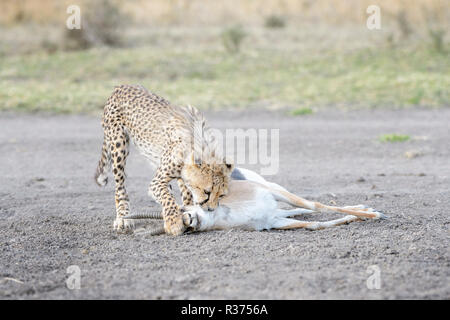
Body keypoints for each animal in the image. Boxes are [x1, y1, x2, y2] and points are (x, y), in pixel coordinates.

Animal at [93, 85, 234, 235]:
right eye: (207, 192)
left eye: (221, 195)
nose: (210, 209)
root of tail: (121, 86)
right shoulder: (157, 181)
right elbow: (167, 198)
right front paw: (174, 222)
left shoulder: (181, 177)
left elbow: (184, 195)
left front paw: (186, 213)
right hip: (119, 145)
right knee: (120, 186)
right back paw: (122, 217)